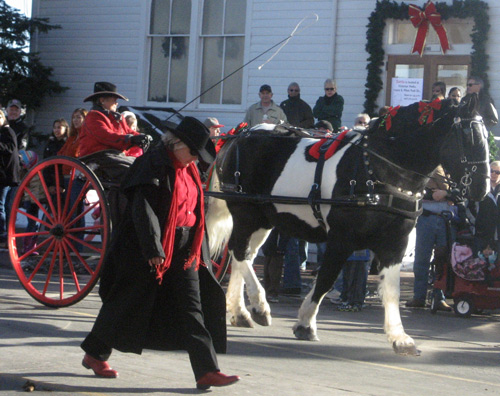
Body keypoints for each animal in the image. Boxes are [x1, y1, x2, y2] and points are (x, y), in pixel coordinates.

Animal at [206, 94, 488, 354]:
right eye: (470, 137)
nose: (482, 188)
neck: (376, 168)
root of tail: (240, 134)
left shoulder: (396, 243)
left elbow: (391, 290)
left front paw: (400, 338)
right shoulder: (341, 239)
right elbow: (326, 279)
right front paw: (305, 323)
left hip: (264, 219)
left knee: (243, 256)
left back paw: (240, 312)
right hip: (246, 213)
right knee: (240, 252)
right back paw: (259, 306)